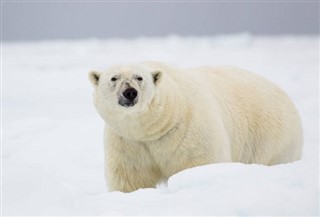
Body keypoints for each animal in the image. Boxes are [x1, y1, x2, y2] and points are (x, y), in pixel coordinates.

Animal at [88, 62, 302, 192]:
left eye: (139, 77)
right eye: (114, 78)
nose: (130, 92)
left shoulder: (189, 131)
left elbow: (199, 163)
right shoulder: (128, 142)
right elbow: (131, 178)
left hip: (272, 137)